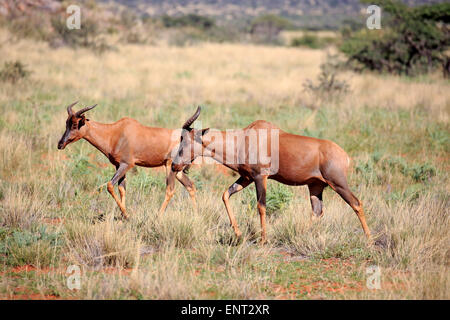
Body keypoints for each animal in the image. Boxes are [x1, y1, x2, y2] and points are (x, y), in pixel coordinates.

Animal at [57, 101, 196, 219]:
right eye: (66, 123)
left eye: (75, 124)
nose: (60, 144)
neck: (115, 133)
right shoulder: (119, 166)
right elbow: (121, 189)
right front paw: (124, 216)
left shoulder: (127, 164)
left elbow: (110, 185)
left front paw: (127, 215)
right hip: (177, 169)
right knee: (190, 185)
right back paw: (196, 213)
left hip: (169, 165)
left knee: (170, 190)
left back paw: (159, 216)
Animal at [171, 109, 370, 244]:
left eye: (184, 142)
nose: (174, 165)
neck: (245, 138)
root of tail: (343, 155)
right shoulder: (247, 178)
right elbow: (225, 195)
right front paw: (238, 234)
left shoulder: (260, 177)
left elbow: (261, 206)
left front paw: (263, 240)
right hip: (315, 186)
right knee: (317, 211)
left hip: (338, 183)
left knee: (356, 203)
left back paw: (369, 239)